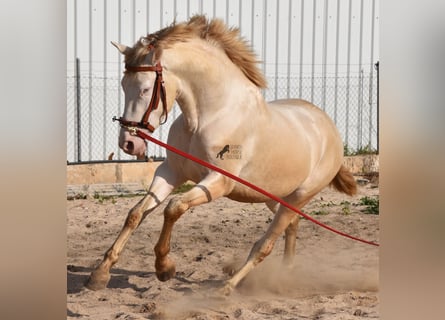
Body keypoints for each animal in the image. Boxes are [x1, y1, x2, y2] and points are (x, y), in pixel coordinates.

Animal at [86, 15, 358, 296]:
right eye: (123, 85)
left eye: (145, 89)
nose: (128, 143)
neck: (208, 116)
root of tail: (329, 127)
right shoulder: (171, 171)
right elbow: (136, 213)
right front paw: (99, 275)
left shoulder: (219, 182)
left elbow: (174, 208)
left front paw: (164, 268)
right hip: (273, 196)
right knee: (292, 226)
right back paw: (283, 276)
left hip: (299, 197)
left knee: (266, 244)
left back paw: (228, 287)